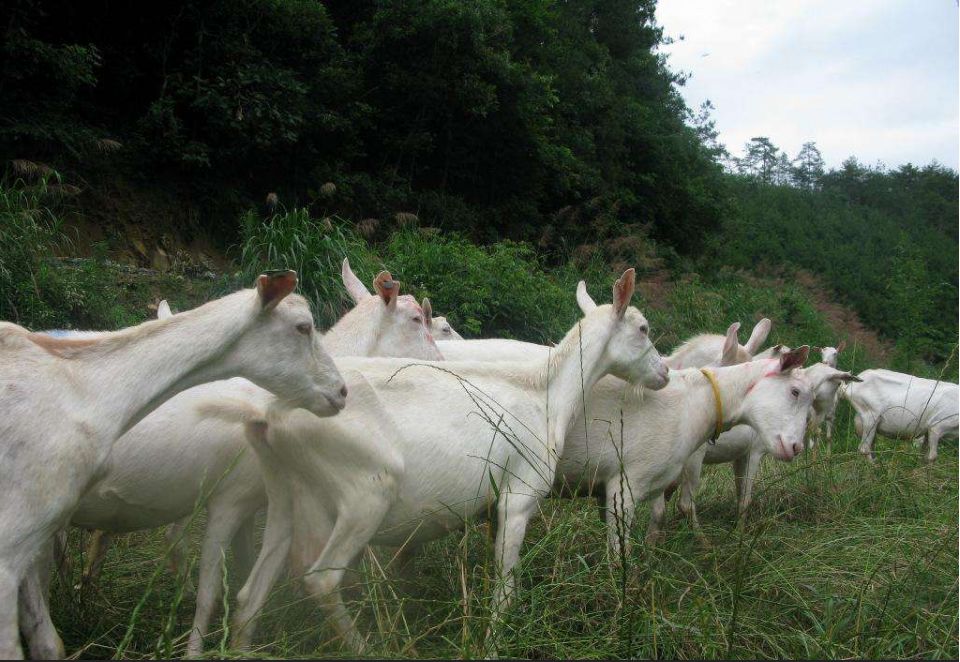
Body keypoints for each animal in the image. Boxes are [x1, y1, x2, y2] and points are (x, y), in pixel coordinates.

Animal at [202, 272, 668, 660]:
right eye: (643, 328)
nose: (663, 372)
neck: (547, 395)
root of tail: (270, 418)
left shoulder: (492, 505)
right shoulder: (519, 496)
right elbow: (506, 591)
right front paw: (492, 646)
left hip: (285, 494)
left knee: (249, 596)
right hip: (364, 493)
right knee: (320, 579)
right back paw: (369, 648)